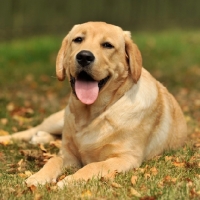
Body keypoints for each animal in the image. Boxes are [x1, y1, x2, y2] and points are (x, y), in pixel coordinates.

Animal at [0, 21, 188, 188]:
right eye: (78, 40)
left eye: (107, 45)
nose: (84, 56)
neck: (92, 115)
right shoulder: (68, 155)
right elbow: (53, 160)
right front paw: (39, 177)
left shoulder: (125, 158)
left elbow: (95, 165)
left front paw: (70, 180)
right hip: (58, 119)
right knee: (32, 130)